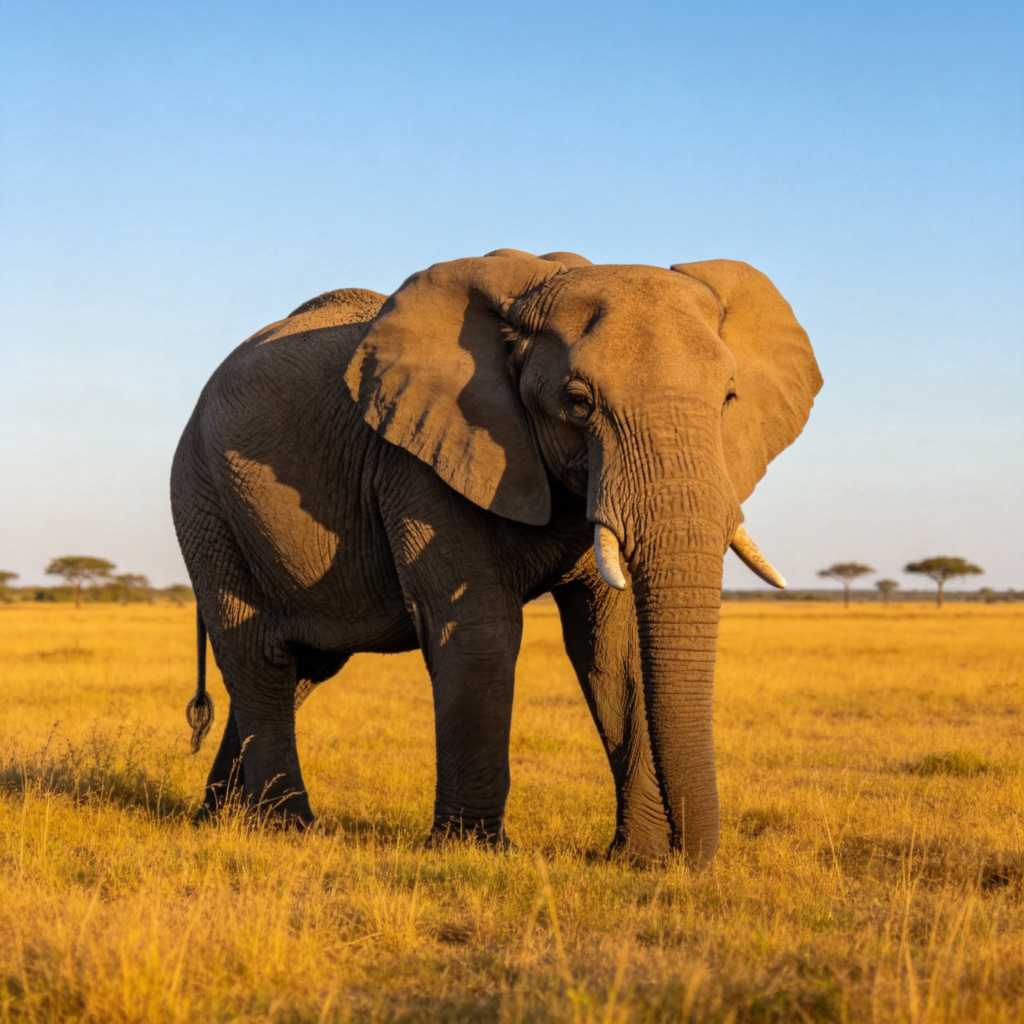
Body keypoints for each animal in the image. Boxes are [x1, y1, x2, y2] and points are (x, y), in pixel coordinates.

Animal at [171, 248, 821, 867]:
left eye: (729, 398)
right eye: (578, 402)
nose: (691, 860)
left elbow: (614, 650)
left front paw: (638, 860)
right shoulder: (419, 460)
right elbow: (479, 630)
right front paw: (474, 852)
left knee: (304, 667)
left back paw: (220, 820)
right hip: (204, 498)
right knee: (258, 653)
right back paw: (290, 830)